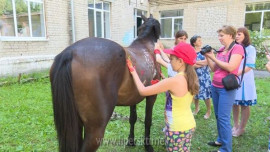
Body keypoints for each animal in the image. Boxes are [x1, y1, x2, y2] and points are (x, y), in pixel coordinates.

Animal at [49, 13, 160, 151]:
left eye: (139, 28)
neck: (146, 46)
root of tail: (70, 52)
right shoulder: (152, 96)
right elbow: (148, 120)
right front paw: (148, 145)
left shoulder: (133, 97)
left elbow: (133, 118)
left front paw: (131, 141)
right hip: (95, 129)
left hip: (75, 123)